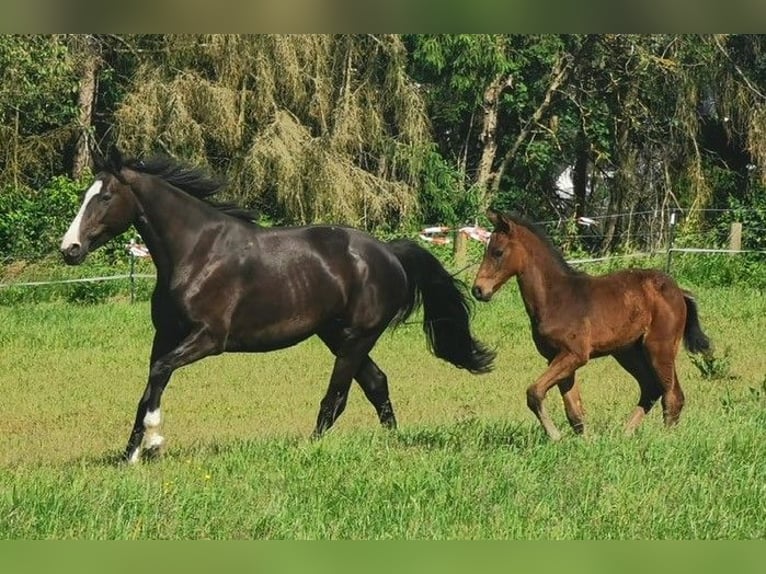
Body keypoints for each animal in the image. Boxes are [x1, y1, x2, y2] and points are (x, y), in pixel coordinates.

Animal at [58, 151, 492, 466]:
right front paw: (131, 453)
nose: (69, 250)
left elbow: (160, 374)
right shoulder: (165, 336)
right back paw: (392, 441)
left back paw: (311, 448)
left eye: (105, 197)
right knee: (376, 383)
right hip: (337, 336)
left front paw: (152, 443)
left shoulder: (208, 338)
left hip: (356, 338)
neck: (196, 253)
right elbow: (150, 384)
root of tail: (390, 252)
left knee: (337, 397)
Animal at [474, 212, 712, 440]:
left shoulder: (575, 355)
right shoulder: (556, 357)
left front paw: (555, 435)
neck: (556, 298)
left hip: (659, 349)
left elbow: (534, 392)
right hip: (629, 353)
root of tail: (679, 291)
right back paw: (624, 435)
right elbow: (574, 409)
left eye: (497, 252)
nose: (478, 290)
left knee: (672, 395)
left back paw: (664, 439)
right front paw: (586, 441)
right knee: (651, 388)